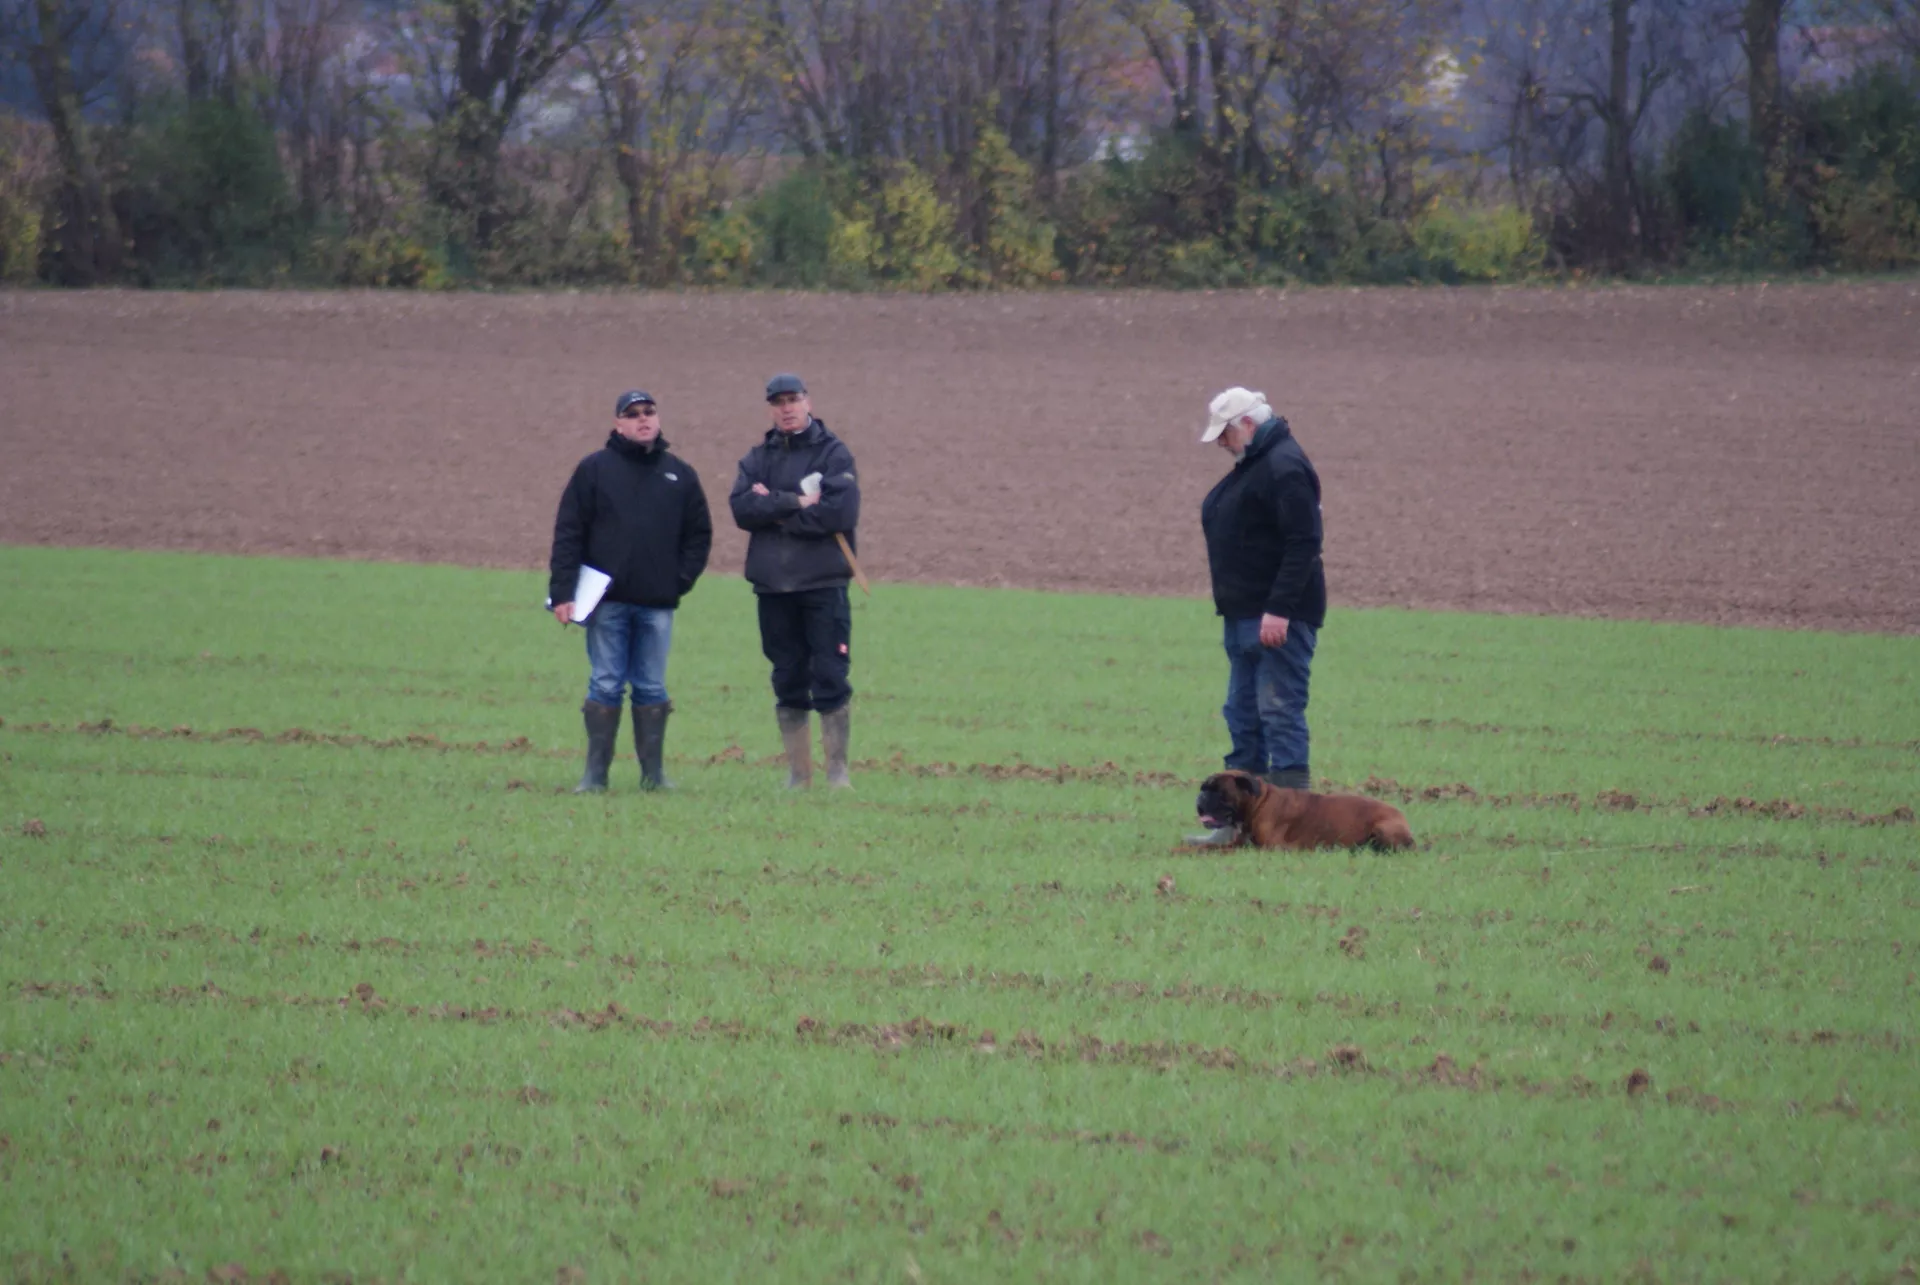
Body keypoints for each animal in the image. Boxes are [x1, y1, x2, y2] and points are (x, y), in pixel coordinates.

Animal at [1194, 770, 1415, 851]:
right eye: (1203, 788)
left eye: (1219, 792)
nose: (1200, 798)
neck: (1258, 804)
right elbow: (1207, 846)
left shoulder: (1269, 848)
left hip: (1383, 827)